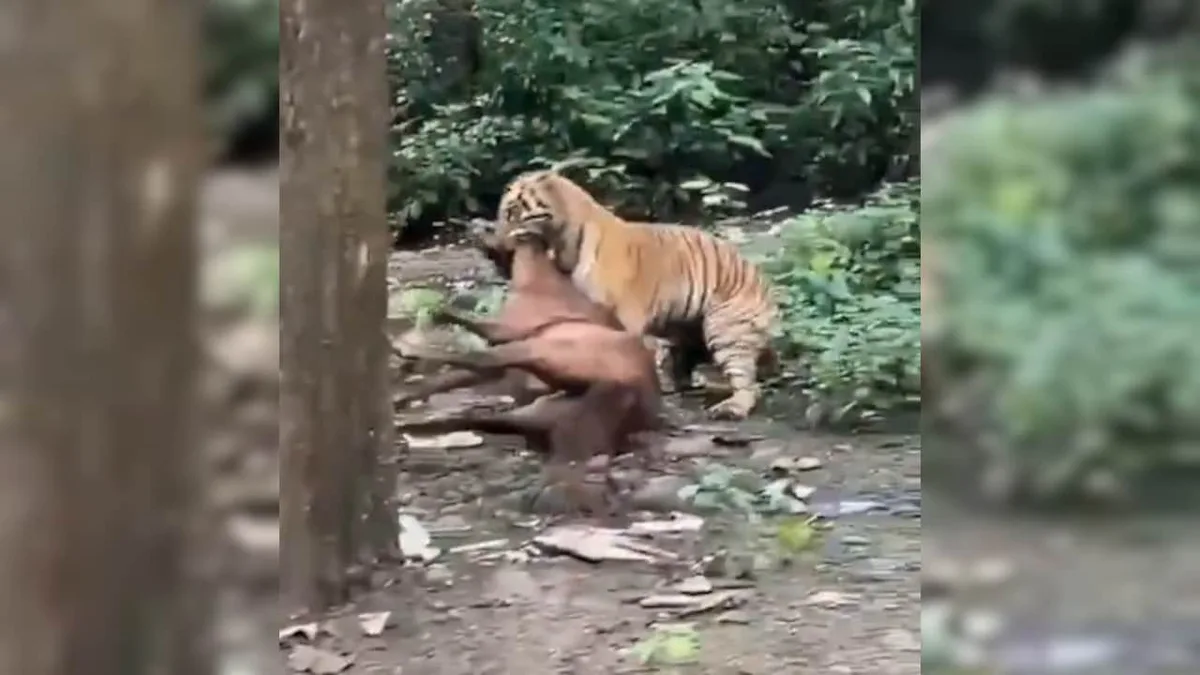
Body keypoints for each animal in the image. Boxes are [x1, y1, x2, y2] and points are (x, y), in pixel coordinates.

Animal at [478, 169, 778, 421]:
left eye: (512, 212)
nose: (493, 246)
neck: (561, 246)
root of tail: (763, 282)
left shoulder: (621, 319)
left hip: (726, 330)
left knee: (747, 382)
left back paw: (732, 407)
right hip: (688, 330)